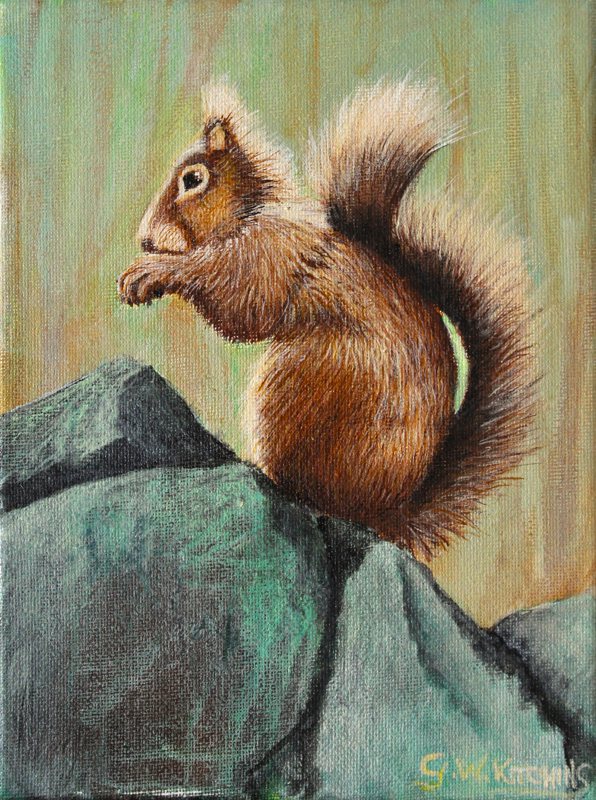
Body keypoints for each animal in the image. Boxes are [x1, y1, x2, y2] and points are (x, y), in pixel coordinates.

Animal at [118, 79, 536, 557]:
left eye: (193, 179)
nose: (144, 238)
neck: (250, 214)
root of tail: (384, 514)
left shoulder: (267, 258)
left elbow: (240, 307)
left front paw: (155, 272)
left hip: (302, 386)